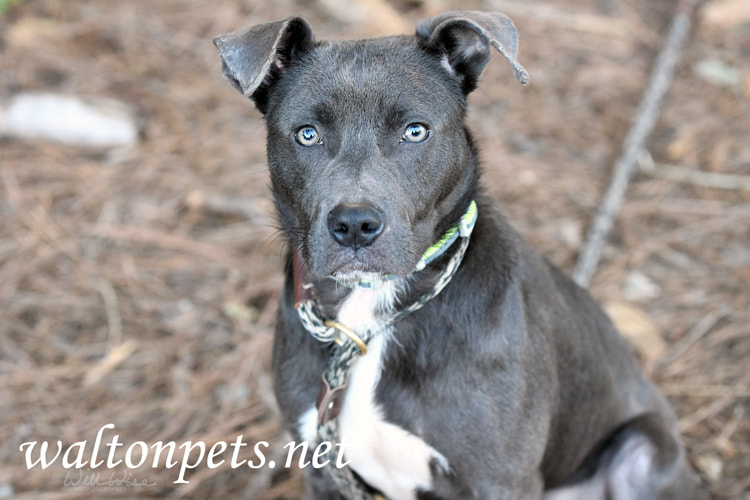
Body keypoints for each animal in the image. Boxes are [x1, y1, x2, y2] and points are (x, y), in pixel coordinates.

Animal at [213, 8, 704, 500]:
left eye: (415, 131)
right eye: (307, 134)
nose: (354, 225)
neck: (373, 313)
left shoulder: (499, 479)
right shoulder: (322, 468)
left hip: (641, 454)